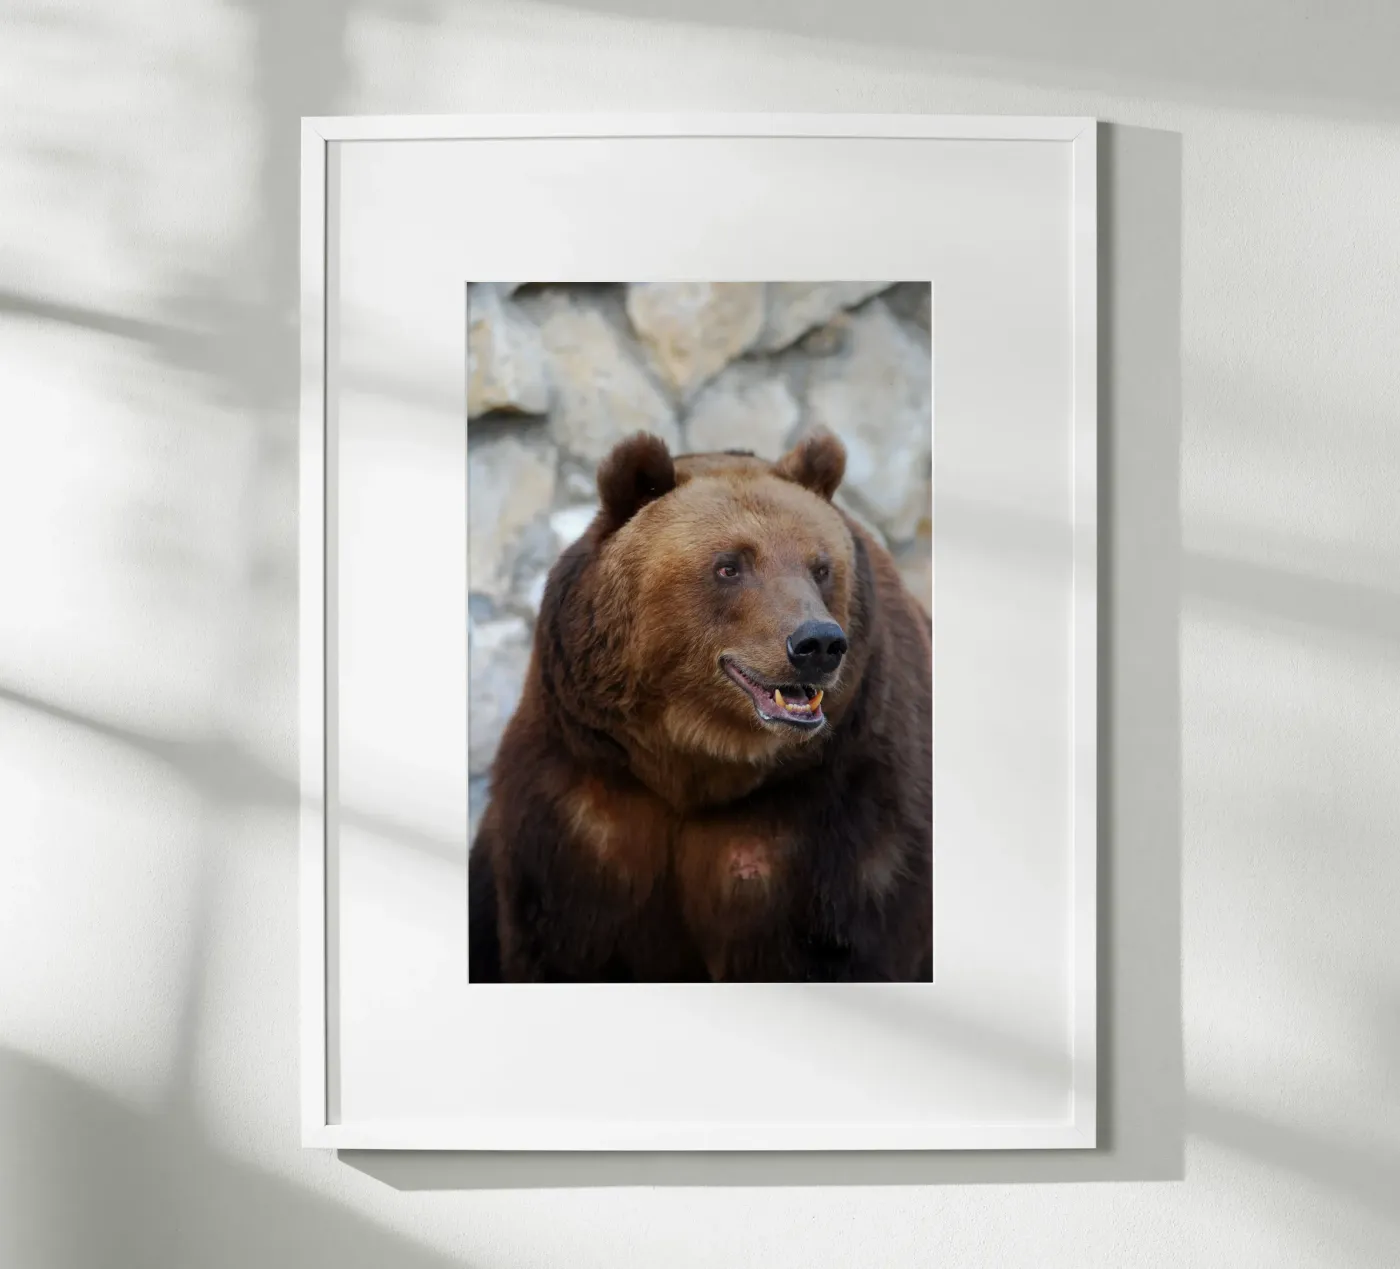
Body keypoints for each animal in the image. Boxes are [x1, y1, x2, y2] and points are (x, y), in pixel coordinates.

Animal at [468, 428, 932, 983]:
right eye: (729, 565)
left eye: (821, 567)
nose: (817, 643)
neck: (695, 761)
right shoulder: (585, 804)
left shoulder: (836, 815)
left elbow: (840, 945)